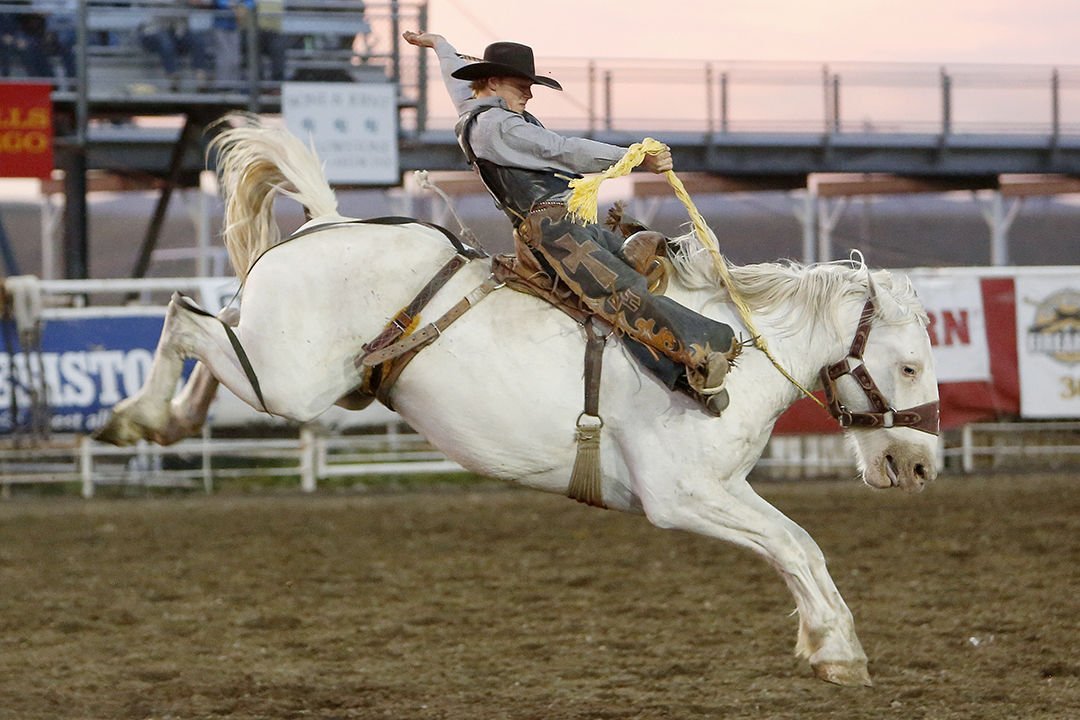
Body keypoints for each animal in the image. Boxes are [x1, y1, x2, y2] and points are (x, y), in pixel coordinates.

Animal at [95, 117, 937, 686]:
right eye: (908, 366)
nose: (923, 467)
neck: (733, 348)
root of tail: (329, 219)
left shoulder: (726, 487)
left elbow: (801, 545)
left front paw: (829, 644)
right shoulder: (681, 496)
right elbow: (792, 544)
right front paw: (839, 650)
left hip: (278, 359)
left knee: (214, 336)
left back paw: (170, 421)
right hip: (289, 379)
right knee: (183, 317)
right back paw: (132, 417)